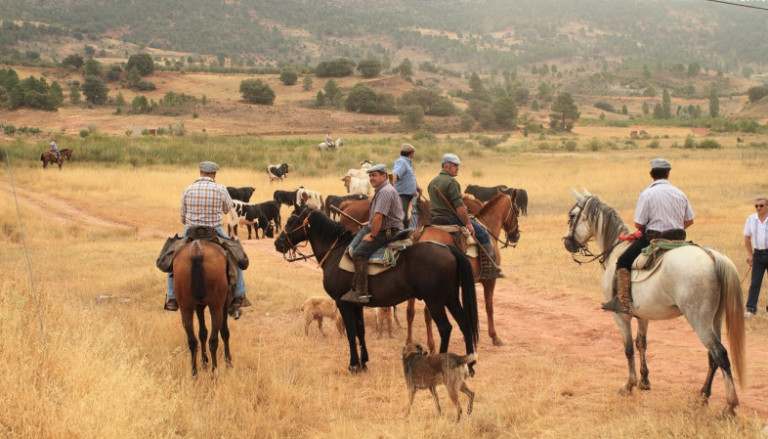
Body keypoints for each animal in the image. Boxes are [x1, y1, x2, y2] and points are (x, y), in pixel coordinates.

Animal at [172, 241, 232, 378]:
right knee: (214, 340)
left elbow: (202, 333)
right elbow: (224, 332)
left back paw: (194, 374)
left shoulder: (198, 306)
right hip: (216, 306)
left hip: (186, 308)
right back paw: (214, 373)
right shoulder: (224, 303)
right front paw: (228, 363)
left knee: (192, 341)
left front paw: (204, 362)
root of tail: (196, 251)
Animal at [272, 208, 476, 372]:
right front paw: (363, 363)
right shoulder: (356, 304)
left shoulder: (343, 303)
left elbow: (351, 333)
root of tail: (448, 248)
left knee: (446, 328)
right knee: (464, 324)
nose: (277, 243)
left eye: (290, 221)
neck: (335, 252)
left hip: (435, 301)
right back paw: (471, 364)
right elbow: (360, 331)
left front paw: (353, 365)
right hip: (450, 298)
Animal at [404, 192, 520, 350]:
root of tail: (419, 235)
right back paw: (432, 346)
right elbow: (489, 307)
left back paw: (409, 342)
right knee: (427, 313)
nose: (516, 235)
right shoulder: (490, 281)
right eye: (517, 211)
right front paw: (495, 337)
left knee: (411, 311)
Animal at [560, 191, 748, 418]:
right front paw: (644, 380)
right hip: (715, 319)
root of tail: (713, 258)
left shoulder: (621, 315)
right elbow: (642, 343)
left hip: (699, 320)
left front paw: (629, 384)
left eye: (572, 216)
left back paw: (729, 406)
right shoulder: (643, 315)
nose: (567, 242)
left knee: (720, 354)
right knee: (712, 356)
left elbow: (628, 348)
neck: (617, 248)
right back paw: (703, 396)